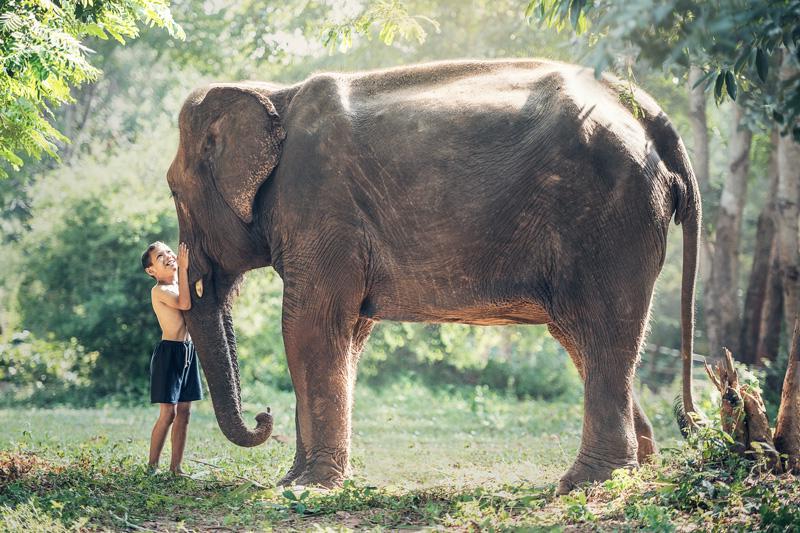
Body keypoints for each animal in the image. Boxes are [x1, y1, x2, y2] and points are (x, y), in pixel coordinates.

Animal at [166, 58, 700, 494]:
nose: (263, 415)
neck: (275, 94)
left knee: (601, 329)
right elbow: (348, 335)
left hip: (610, 218)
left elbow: (309, 329)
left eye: (172, 191)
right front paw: (295, 482)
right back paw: (641, 467)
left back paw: (585, 483)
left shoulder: (320, 207)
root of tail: (648, 112)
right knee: (580, 337)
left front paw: (305, 488)